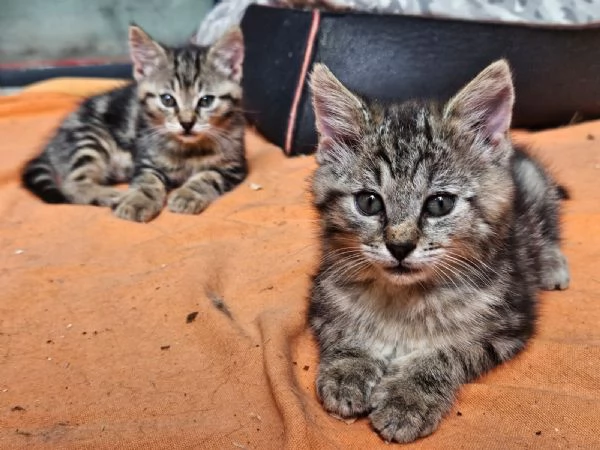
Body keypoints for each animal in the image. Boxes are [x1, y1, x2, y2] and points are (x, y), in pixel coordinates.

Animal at [21, 24, 246, 221]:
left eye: (206, 101)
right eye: (168, 100)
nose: (187, 123)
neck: (188, 149)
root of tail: (52, 144)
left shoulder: (234, 166)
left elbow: (208, 176)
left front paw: (187, 195)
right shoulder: (147, 161)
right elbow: (147, 182)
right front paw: (138, 202)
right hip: (90, 138)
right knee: (72, 185)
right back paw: (113, 195)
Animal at [308, 60, 568, 442]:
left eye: (439, 203)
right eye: (369, 202)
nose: (399, 245)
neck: (403, 300)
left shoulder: (507, 323)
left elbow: (447, 352)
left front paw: (409, 397)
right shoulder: (322, 298)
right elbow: (342, 330)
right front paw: (349, 368)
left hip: (534, 185)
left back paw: (550, 263)